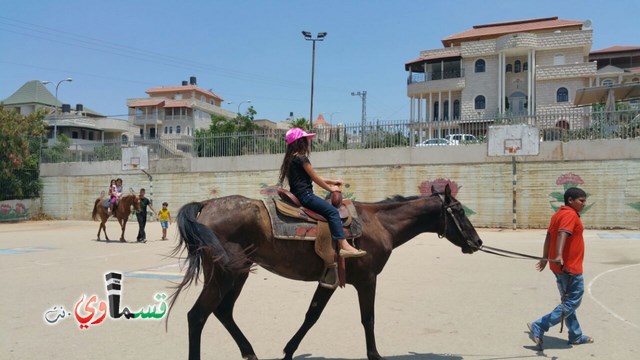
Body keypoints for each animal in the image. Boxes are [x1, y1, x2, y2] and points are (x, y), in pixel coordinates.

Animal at [172, 184, 482, 360]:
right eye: (459, 211)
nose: (477, 242)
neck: (378, 224)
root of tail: (206, 205)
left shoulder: (329, 279)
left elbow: (312, 315)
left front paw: (289, 351)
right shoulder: (368, 280)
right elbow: (368, 319)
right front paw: (375, 355)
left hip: (238, 273)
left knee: (223, 312)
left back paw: (249, 352)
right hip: (224, 275)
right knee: (197, 316)